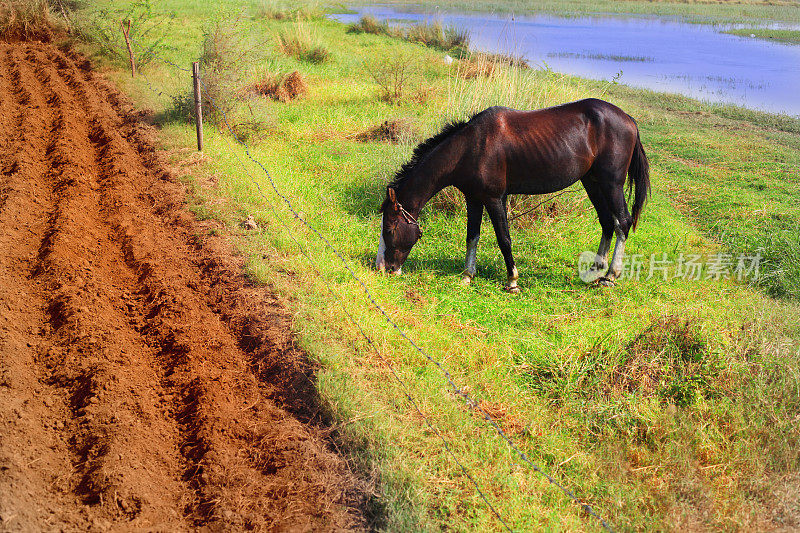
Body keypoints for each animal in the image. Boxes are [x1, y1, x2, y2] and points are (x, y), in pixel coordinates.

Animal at [376, 97, 648, 294]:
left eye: (389, 229)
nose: (383, 268)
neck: (471, 147)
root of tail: (629, 120)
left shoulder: (495, 199)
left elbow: (503, 239)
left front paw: (512, 281)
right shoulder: (473, 199)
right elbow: (472, 236)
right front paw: (467, 276)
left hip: (611, 183)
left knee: (622, 222)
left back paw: (610, 276)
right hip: (592, 182)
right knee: (607, 221)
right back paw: (595, 269)